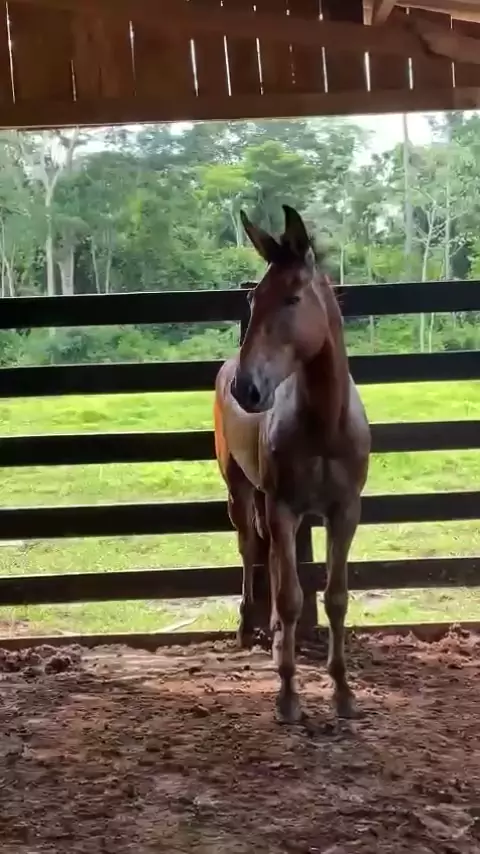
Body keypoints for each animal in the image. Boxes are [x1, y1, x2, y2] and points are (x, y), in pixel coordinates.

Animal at [214, 205, 371, 724]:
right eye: (253, 298)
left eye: (293, 297)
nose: (247, 389)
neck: (323, 424)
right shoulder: (284, 508)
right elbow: (289, 597)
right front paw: (287, 699)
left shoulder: (344, 512)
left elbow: (335, 598)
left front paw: (343, 693)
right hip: (241, 490)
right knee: (251, 550)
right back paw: (248, 629)